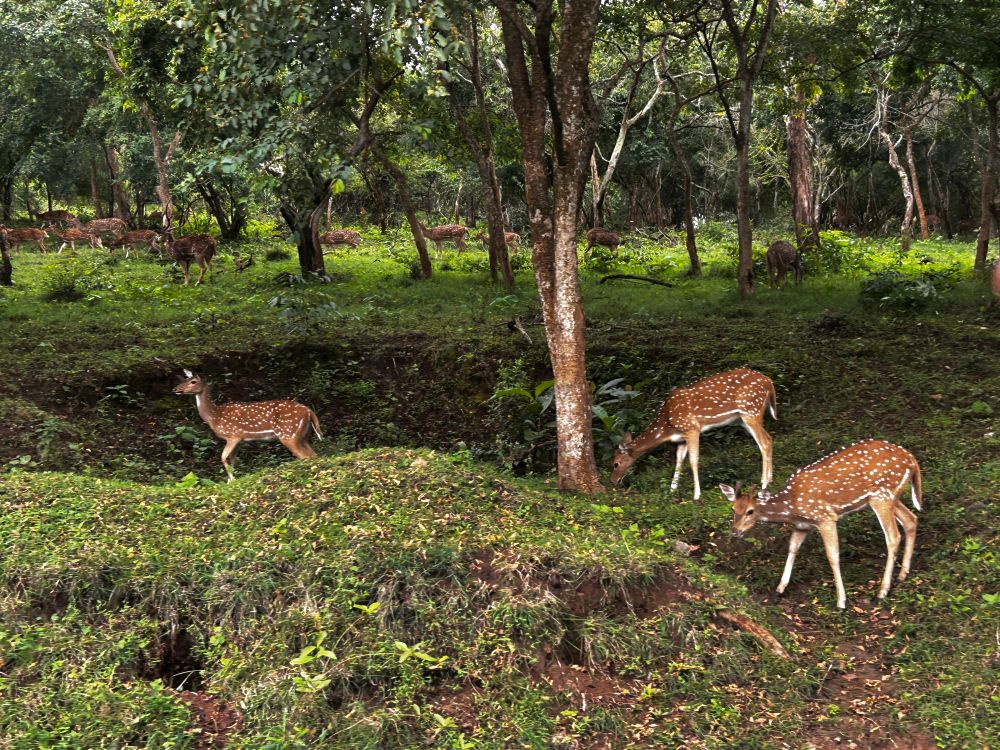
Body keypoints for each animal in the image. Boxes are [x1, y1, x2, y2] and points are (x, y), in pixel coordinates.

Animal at [173, 370, 323, 482]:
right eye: (184, 380)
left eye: (193, 381)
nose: (175, 389)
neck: (214, 417)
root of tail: (309, 412)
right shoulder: (238, 440)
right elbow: (231, 460)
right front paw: (230, 481)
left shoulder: (233, 436)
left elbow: (223, 457)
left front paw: (232, 480)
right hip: (303, 436)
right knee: (313, 455)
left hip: (289, 434)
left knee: (305, 456)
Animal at [611, 368, 776, 501]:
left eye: (616, 463)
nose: (613, 481)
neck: (666, 426)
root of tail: (769, 382)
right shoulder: (681, 438)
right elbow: (678, 460)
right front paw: (672, 490)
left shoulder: (692, 428)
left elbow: (693, 460)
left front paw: (696, 495)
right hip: (744, 418)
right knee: (769, 438)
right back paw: (770, 479)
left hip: (750, 411)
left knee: (764, 442)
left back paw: (763, 485)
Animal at [721, 439, 922, 609]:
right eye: (733, 508)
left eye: (750, 511)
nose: (735, 531)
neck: (792, 507)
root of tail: (912, 460)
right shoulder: (802, 526)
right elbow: (792, 548)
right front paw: (779, 589)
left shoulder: (825, 518)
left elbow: (832, 556)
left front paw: (841, 601)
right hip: (892, 497)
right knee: (911, 519)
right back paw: (902, 575)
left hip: (882, 497)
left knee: (893, 536)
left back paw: (881, 592)